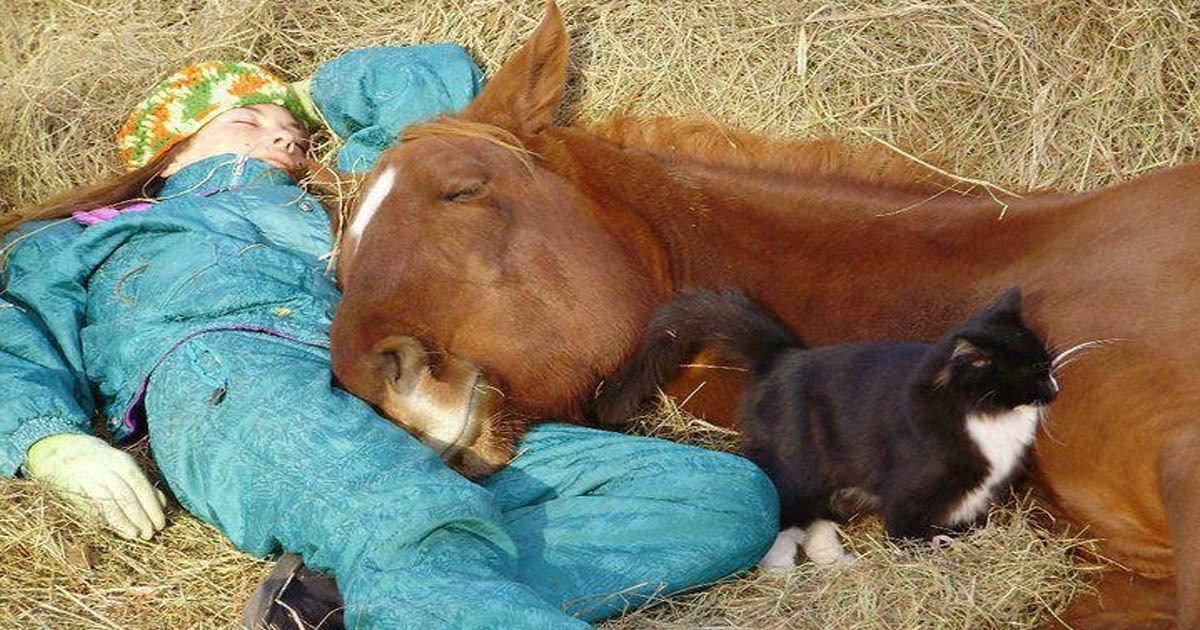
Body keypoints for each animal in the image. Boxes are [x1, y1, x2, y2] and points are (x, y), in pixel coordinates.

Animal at [595, 286, 1056, 566]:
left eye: (1047, 364)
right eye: (1033, 371)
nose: (1054, 387)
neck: (987, 417)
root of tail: (780, 357)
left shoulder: (981, 489)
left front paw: (957, 538)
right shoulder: (912, 484)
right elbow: (904, 527)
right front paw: (923, 548)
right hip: (796, 463)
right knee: (781, 510)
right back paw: (779, 566)